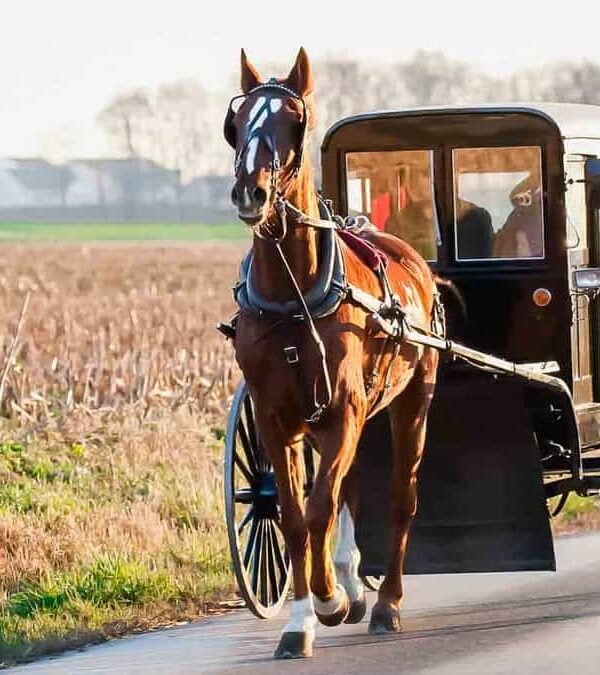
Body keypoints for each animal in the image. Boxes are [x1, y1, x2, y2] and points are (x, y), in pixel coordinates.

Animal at [224, 47, 440, 659]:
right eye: (236, 122)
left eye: (294, 120)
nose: (250, 192)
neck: (291, 296)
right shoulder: (276, 418)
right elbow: (296, 516)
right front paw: (303, 619)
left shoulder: (344, 409)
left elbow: (321, 507)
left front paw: (329, 600)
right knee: (348, 488)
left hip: (410, 399)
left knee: (400, 497)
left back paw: (385, 602)